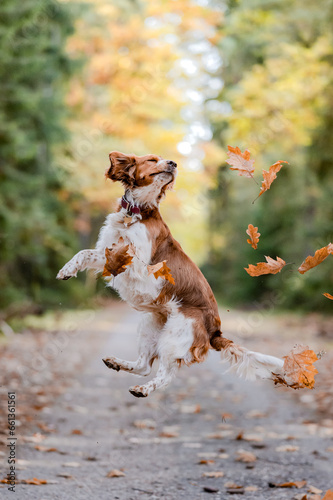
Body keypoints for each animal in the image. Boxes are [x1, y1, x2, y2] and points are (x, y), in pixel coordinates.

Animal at [56, 152, 282, 398]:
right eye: (152, 160)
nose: (173, 163)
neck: (136, 212)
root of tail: (215, 331)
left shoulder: (140, 263)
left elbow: (112, 256)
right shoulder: (106, 248)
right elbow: (84, 253)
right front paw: (66, 270)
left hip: (174, 338)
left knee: (164, 375)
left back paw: (142, 390)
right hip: (150, 326)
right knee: (144, 366)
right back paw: (116, 363)